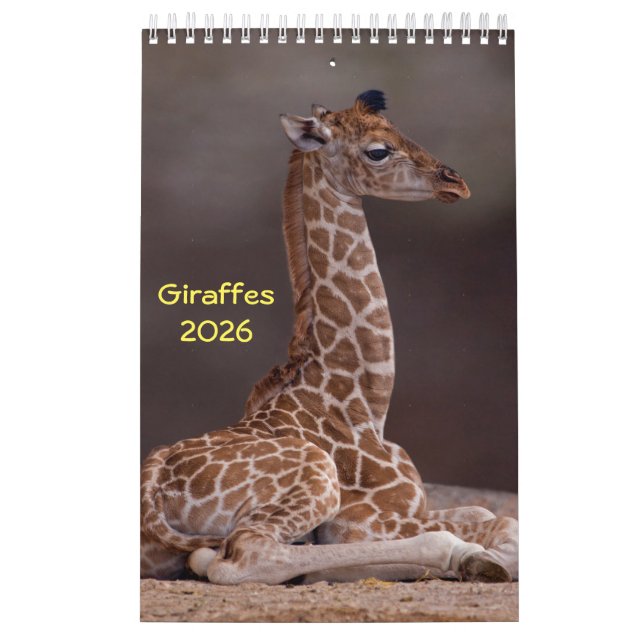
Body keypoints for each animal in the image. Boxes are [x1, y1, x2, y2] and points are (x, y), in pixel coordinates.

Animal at [141, 90, 518, 585]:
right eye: (378, 150)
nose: (455, 182)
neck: (365, 402)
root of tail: (151, 491)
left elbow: (485, 512)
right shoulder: (360, 520)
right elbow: (502, 523)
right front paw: (485, 557)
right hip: (315, 476)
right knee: (246, 554)